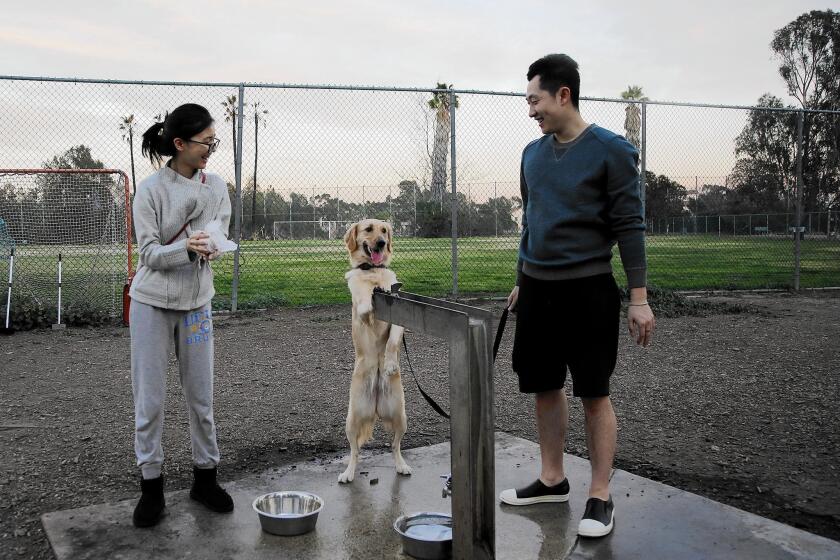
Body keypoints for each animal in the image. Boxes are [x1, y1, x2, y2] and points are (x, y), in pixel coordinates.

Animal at [336, 221, 412, 484]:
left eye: (384, 231)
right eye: (368, 229)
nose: (380, 243)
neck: (373, 272)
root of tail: (376, 405)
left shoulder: (399, 317)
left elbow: (392, 343)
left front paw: (389, 364)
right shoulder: (361, 305)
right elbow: (365, 304)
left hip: (400, 416)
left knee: (395, 446)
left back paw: (402, 466)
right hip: (351, 420)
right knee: (354, 451)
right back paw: (348, 473)